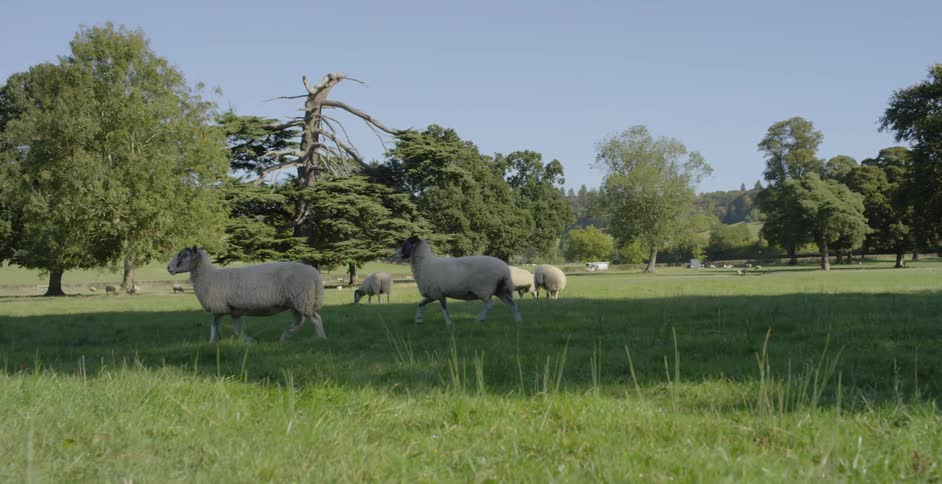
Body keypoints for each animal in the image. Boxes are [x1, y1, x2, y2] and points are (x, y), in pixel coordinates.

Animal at [167, 246, 326, 342]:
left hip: (302, 300)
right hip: (296, 302)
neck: (208, 276)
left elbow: (216, 325)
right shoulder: (234, 310)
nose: (168, 267)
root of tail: (316, 275)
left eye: (185, 254)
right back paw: (285, 336)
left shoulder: (219, 307)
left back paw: (320, 338)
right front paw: (245, 341)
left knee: (316, 319)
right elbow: (233, 329)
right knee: (299, 320)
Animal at [392, 236, 521, 325]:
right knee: (513, 304)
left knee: (490, 305)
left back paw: (480, 319)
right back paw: (518, 321)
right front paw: (419, 320)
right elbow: (420, 304)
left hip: (484, 288)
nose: (394, 255)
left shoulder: (438, 293)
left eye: (406, 244)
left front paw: (449, 323)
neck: (425, 264)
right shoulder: (432, 294)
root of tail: (505, 268)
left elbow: (444, 308)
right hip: (501, 290)